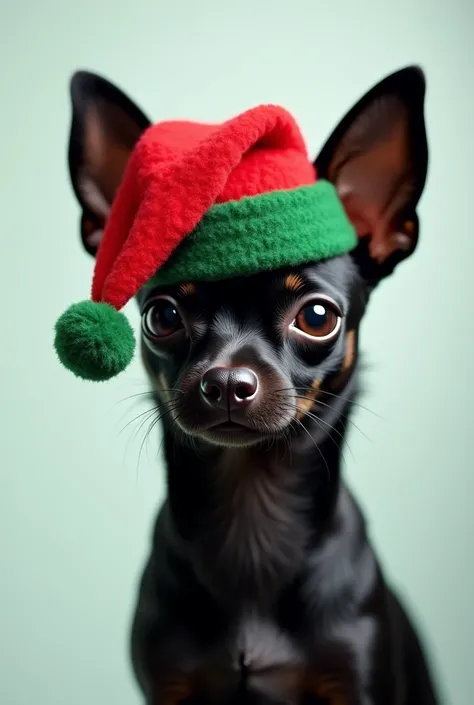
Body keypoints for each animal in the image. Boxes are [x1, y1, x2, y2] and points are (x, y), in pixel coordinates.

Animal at [65, 67, 436, 704]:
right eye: (161, 317)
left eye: (318, 317)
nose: (226, 382)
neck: (250, 511)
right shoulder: (170, 686)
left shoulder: (357, 685)